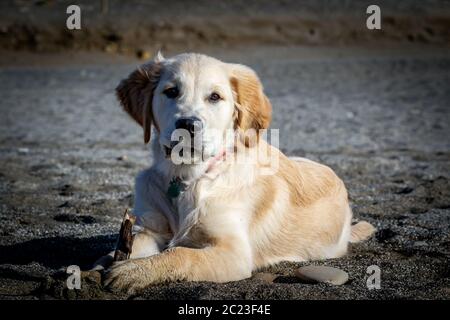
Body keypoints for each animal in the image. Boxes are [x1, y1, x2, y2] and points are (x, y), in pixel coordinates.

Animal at [99, 52, 376, 292]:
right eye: (171, 91)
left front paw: (134, 271)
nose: (187, 124)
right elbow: (127, 247)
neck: (190, 176)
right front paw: (109, 264)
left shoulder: (233, 253)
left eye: (214, 97)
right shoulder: (151, 229)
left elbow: (182, 254)